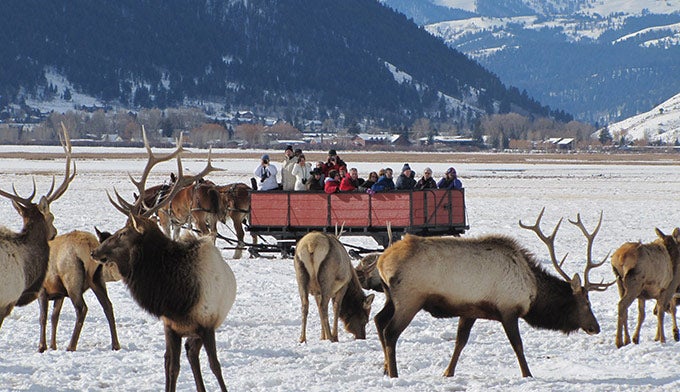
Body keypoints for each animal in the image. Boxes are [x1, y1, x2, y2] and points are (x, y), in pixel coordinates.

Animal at [90, 130, 235, 392]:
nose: (95, 252)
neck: (178, 297)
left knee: (194, 354)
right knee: (187, 355)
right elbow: (171, 366)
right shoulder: (171, 326)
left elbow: (216, 366)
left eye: (123, 233)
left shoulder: (207, 325)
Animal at [374, 210, 612, 378]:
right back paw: (394, 374)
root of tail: (382, 261)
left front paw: (448, 372)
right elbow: (518, 345)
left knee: (378, 319)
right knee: (390, 331)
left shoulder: (470, 309)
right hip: (410, 298)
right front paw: (528, 375)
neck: (533, 293)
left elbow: (460, 342)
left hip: (390, 297)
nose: (595, 327)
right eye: (586, 303)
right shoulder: (508, 309)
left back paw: (385, 368)